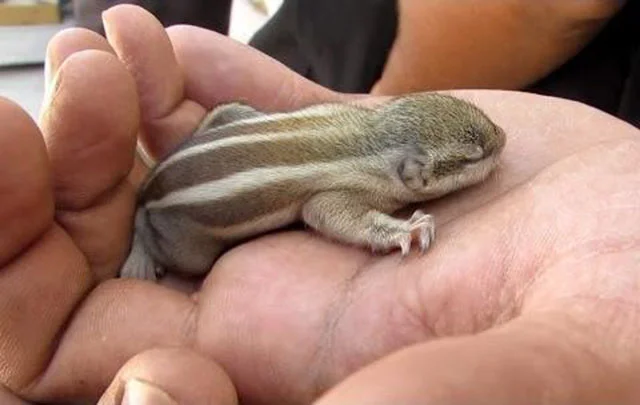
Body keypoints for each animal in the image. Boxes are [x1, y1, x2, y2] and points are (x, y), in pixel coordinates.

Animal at [120, 92, 506, 280]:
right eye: (474, 156)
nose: (503, 137)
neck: (373, 139)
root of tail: (151, 183)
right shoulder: (336, 194)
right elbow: (325, 214)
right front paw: (406, 229)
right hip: (187, 247)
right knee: (143, 222)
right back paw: (140, 258)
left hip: (230, 110)